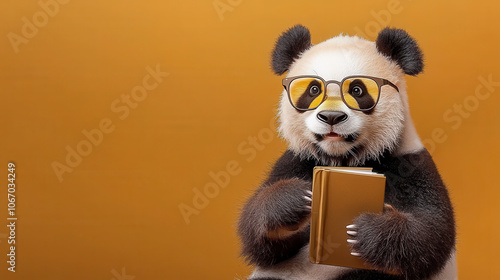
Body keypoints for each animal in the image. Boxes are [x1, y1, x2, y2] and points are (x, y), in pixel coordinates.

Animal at [238, 24, 458, 280]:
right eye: (314, 89)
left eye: (357, 90)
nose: (331, 117)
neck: (343, 160)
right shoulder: (297, 161)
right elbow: (261, 241)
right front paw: (294, 199)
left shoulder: (410, 164)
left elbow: (431, 232)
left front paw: (367, 230)